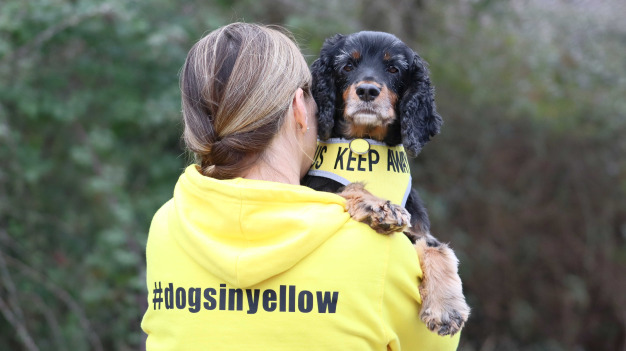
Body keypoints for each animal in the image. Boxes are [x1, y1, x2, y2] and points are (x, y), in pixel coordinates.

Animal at [302, 31, 468, 336]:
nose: (367, 91)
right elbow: (347, 187)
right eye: (347, 66)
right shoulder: (316, 187)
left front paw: (446, 308)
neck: (365, 142)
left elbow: (436, 247)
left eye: (394, 69)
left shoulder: (418, 228)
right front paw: (379, 206)